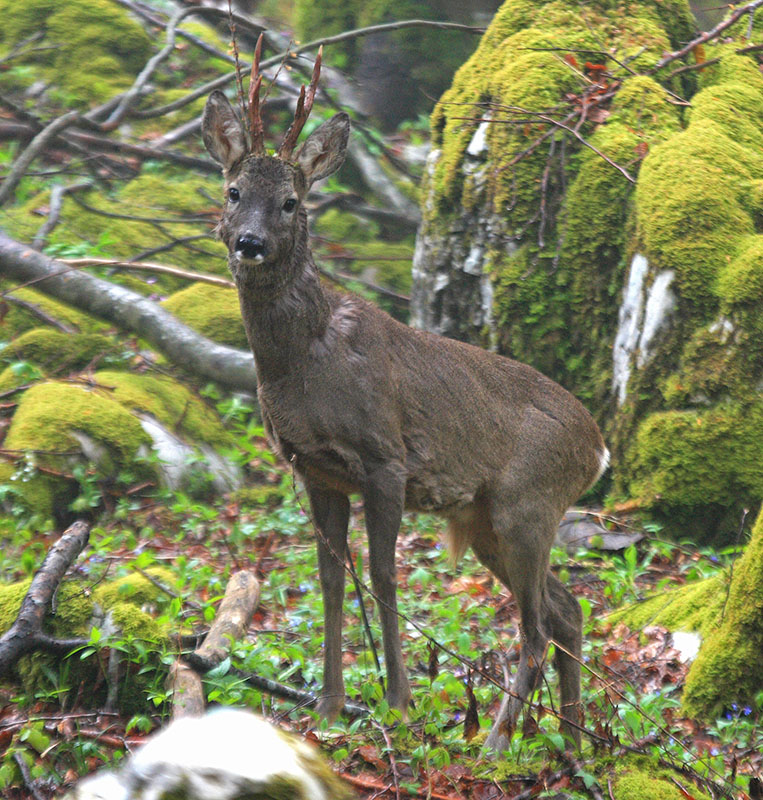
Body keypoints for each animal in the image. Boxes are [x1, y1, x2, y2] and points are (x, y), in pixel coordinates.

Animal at [203, 45, 608, 756]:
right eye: (233, 191)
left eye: (290, 202)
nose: (248, 242)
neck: (301, 364)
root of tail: (599, 448)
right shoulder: (315, 470)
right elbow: (331, 578)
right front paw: (331, 706)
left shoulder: (384, 458)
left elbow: (385, 574)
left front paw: (397, 702)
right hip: (488, 518)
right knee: (567, 611)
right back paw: (572, 744)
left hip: (527, 503)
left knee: (535, 628)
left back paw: (494, 747)